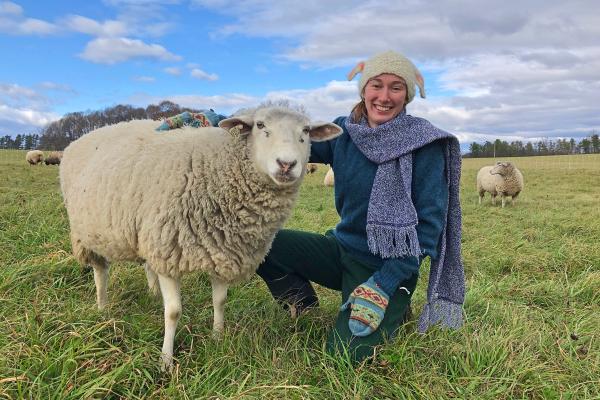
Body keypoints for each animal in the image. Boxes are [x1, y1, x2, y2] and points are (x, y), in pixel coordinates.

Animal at [61, 107, 342, 372]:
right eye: (260, 125)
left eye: (306, 131)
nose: (286, 164)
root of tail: (87, 135)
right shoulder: (168, 250)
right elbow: (173, 312)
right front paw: (166, 360)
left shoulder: (224, 249)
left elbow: (220, 300)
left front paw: (217, 337)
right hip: (87, 232)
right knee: (100, 271)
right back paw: (102, 307)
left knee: (146, 265)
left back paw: (152, 294)